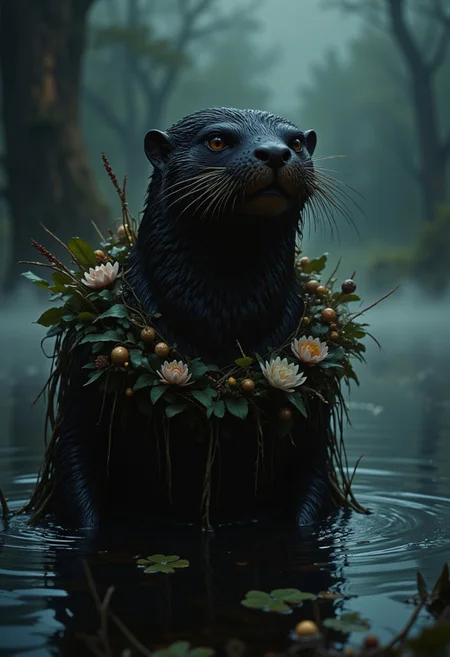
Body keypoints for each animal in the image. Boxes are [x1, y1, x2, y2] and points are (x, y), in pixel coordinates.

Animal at [52, 107, 330, 529]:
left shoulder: (318, 416)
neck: (221, 325)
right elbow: (76, 467)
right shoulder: (81, 374)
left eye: (296, 142)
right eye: (217, 141)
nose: (275, 153)